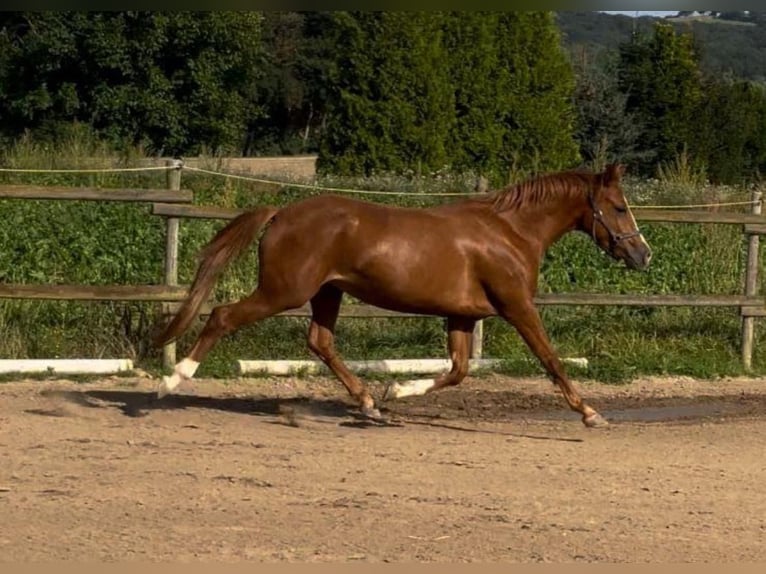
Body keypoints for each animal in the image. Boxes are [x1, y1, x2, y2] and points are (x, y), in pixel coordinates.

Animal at [153, 163, 651, 428]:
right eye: (619, 207)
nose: (643, 254)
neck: (510, 232)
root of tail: (281, 214)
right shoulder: (516, 306)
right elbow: (550, 358)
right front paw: (590, 412)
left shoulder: (463, 315)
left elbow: (458, 371)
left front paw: (395, 390)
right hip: (284, 291)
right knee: (222, 316)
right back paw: (171, 382)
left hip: (327, 294)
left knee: (320, 342)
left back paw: (370, 405)